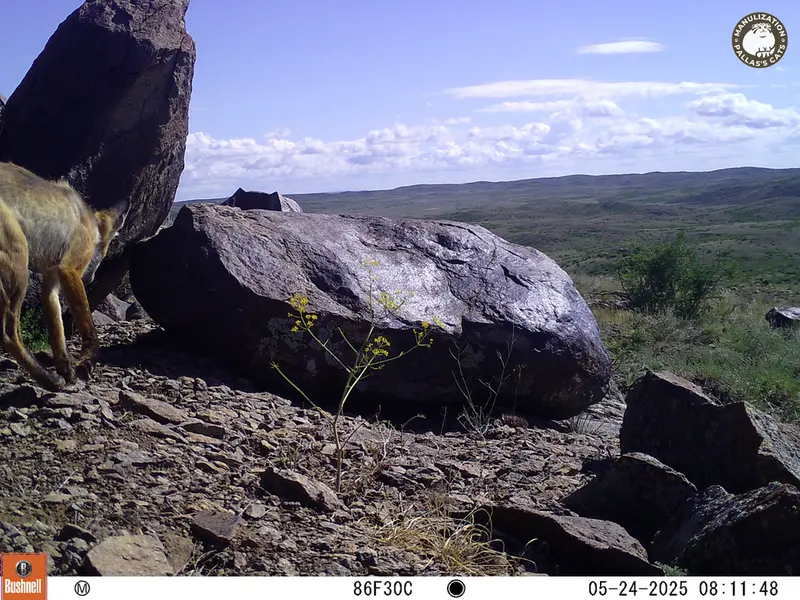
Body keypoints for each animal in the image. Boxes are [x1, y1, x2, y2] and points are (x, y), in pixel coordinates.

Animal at [0, 161, 129, 391]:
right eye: (107, 249)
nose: (91, 279)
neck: (88, 222)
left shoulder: (51, 279)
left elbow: (57, 329)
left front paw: (66, 367)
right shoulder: (69, 269)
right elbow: (88, 326)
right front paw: (87, 360)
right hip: (19, 263)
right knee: (9, 334)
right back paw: (48, 380)